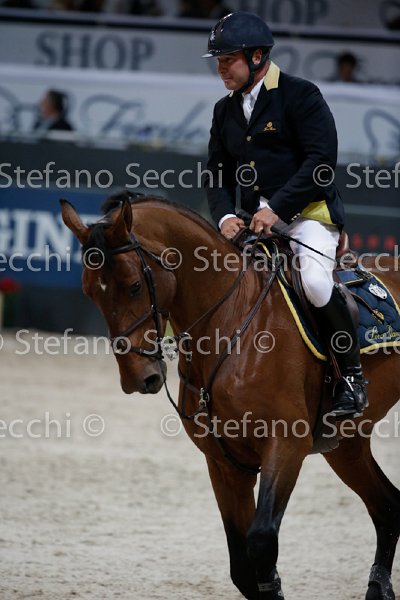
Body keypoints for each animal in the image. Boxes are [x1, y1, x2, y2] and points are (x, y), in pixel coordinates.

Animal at [60, 195, 400, 600]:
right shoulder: (224, 463)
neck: (230, 322)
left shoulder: (287, 444)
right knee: (389, 507)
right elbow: (243, 568)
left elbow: (262, 543)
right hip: (346, 446)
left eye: (133, 286)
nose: (138, 378)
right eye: (89, 291)